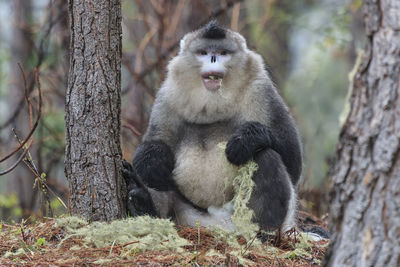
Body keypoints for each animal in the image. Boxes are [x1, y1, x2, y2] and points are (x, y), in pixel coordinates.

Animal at [123, 21, 302, 232]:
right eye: (204, 52)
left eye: (223, 52)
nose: (213, 58)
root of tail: (218, 223)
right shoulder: (167, 96)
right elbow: (155, 143)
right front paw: (151, 160)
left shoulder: (261, 92)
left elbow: (293, 162)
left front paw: (247, 140)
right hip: (187, 213)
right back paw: (143, 203)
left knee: (265, 156)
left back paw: (262, 232)